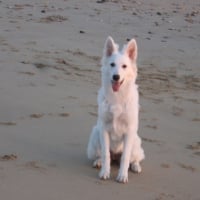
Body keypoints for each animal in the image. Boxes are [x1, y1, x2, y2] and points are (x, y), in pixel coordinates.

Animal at [86, 36, 145, 183]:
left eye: (124, 66)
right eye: (112, 64)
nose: (116, 77)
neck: (117, 97)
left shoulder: (129, 131)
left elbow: (125, 157)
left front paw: (122, 175)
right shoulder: (104, 129)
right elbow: (105, 154)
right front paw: (105, 172)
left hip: (136, 141)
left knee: (134, 158)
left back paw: (135, 166)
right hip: (95, 135)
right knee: (103, 155)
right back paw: (99, 161)